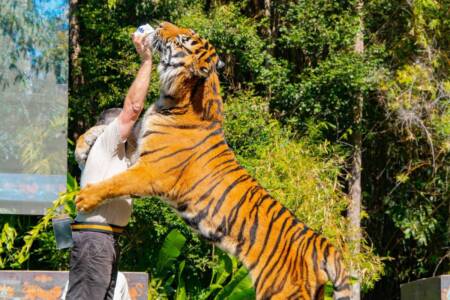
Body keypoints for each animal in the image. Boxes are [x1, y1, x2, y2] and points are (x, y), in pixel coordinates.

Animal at [76, 21, 352, 300]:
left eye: (182, 39)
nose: (161, 24)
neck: (176, 97)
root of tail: (322, 244)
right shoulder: (138, 144)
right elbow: (104, 131)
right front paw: (81, 148)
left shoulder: (151, 170)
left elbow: (116, 182)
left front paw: (85, 197)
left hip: (279, 292)